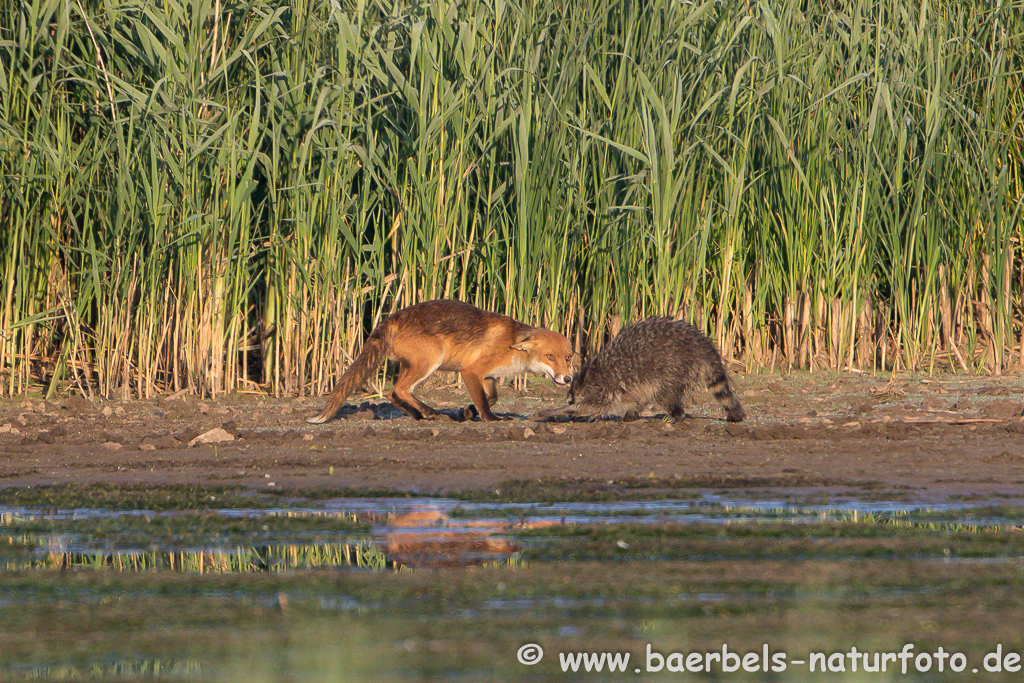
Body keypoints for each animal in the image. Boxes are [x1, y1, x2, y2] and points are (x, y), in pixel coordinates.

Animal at [303, 299, 577, 421]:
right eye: (550, 357)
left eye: (567, 358)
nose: (567, 378)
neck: (512, 344)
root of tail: (393, 317)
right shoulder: (471, 371)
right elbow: (485, 404)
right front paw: (491, 420)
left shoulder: (488, 375)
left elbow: (491, 398)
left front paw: (467, 411)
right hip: (431, 360)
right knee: (401, 390)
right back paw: (430, 412)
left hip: (412, 365)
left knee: (393, 393)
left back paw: (421, 414)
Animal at [540, 315, 749, 421]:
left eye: (571, 396)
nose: (568, 400)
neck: (588, 376)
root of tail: (702, 345)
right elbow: (637, 398)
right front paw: (633, 412)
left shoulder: (604, 387)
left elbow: (591, 406)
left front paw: (560, 410)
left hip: (672, 365)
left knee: (665, 393)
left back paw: (677, 414)